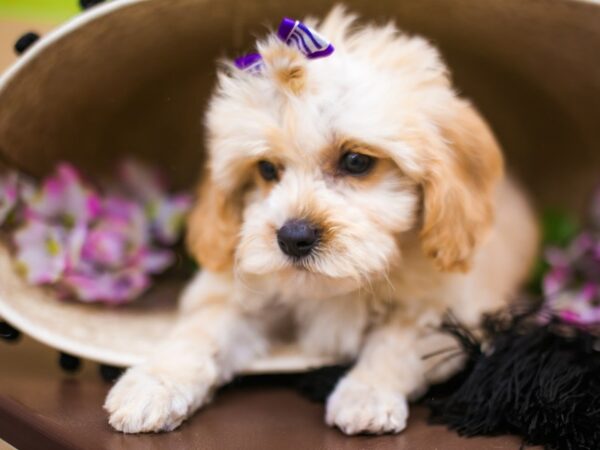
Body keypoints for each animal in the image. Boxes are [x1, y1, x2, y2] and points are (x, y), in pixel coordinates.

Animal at [104, 7, 540, 434]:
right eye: (266, 169)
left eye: (357, 161)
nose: (293, 237)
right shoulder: (237, 292)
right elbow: (201, 329)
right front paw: (153, 383)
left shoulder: (446, 310)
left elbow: (396, 342)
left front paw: (366, 394)